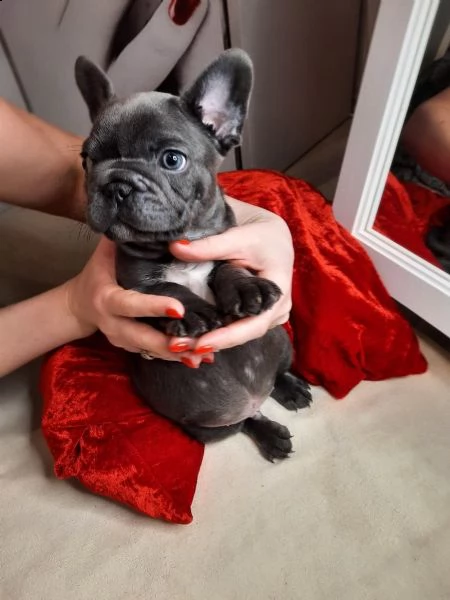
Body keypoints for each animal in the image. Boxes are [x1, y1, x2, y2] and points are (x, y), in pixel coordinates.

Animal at [74, 49, 312, 462]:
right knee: (246, 421)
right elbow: (164, 291)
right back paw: (268, 431)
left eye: (172, 160)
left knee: (277, 374)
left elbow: (230, 267)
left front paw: (247, 289)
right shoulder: (132, 288)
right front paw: (193, 311)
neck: (178, 249)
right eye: (87, 160)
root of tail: (254, 397)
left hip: (281, 340)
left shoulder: (226, 245)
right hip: (206, 428)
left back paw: (290, 388)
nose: (115, 183)